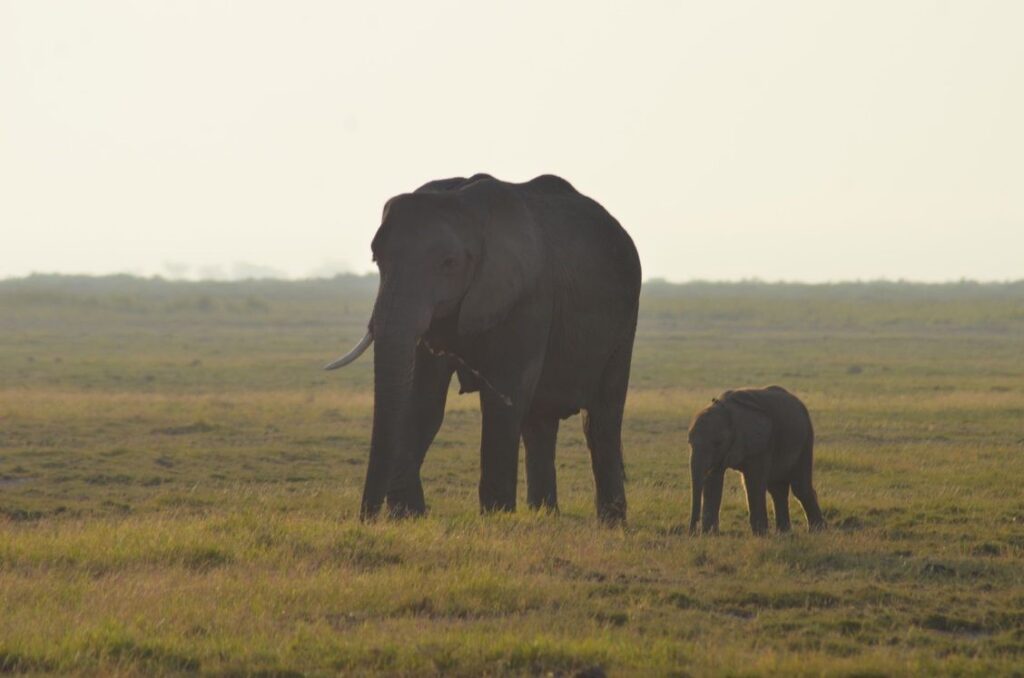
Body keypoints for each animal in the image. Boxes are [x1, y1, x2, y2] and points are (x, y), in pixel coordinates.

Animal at [325, 175, 638, 524]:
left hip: (625, 322)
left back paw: (610, 521)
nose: (366, 518)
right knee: (540, 420)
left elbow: (503, 399)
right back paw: (545, 515)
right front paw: (407, 515)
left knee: (601, 419)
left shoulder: (529, 295)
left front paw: (496, 517)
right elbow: (422, 400)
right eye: (376, 259)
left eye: (448, 263)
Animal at [688, 387, 823, 536]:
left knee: (800, 488)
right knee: (777, 489)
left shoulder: (761, 443)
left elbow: (754, 481)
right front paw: (710, 534)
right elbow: (713, 481)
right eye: (689, 443)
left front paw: (760, 534)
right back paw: (784, 532)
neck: (726, 409)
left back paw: (817, 530)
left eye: (718, 443)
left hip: (805, 439)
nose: (692, 532)